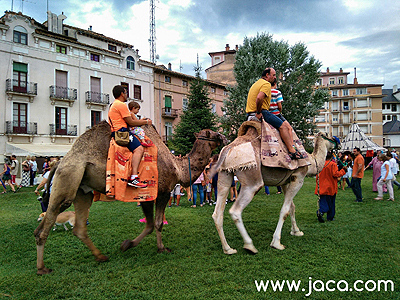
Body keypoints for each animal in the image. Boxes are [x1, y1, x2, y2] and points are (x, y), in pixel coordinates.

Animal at [32, 120, 227, 276]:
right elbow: (156, 224)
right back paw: (42, 268)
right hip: (68, 179)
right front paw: (161, 248)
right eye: (214, 133)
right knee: (46, 224)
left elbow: (149, 225)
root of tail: (59, 162)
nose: (225, 138)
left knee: (77, 227)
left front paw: (126, 244)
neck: (178, 167)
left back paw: (101, 256)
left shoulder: (146, 195)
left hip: (82, 190)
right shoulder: (161, 192)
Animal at [211, 120, 340, 254]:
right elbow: (284, 210)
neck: (311, 162)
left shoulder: (285, 181)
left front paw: (296, 231)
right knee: (235, 211)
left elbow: (292, 207)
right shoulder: (298, 178)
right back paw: (250, 246)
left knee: (217, 213)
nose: (338, 142)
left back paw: (228, 249)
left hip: (224, 174)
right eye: (329, 135)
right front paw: (277, 243)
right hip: (252, 181)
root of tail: (228, 149)